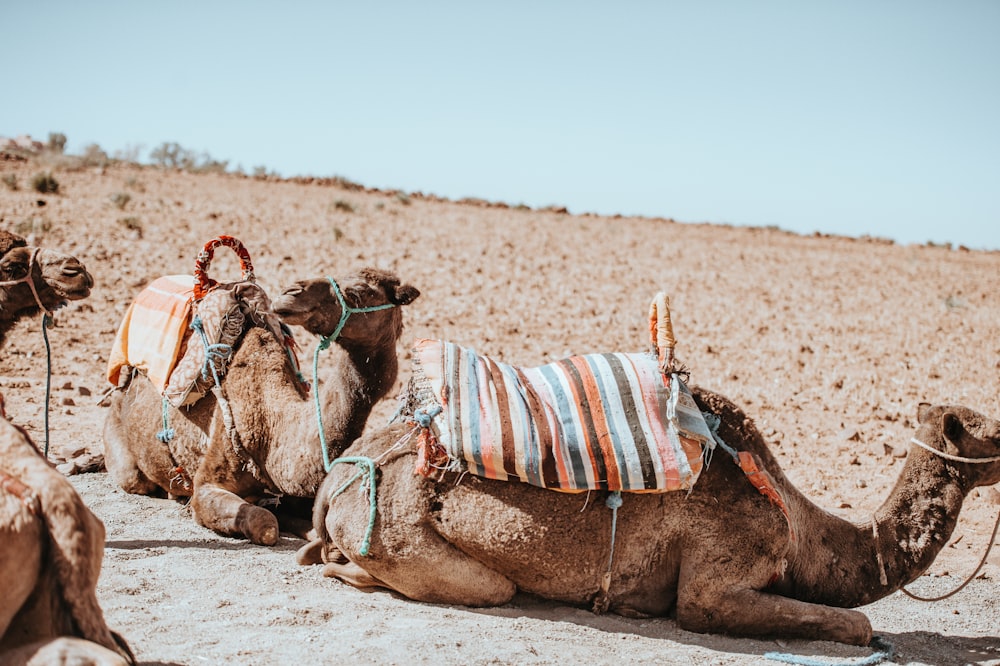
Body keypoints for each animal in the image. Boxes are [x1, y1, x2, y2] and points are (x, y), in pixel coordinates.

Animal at [104, 268, 422, 544]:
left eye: (358, 293)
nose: (292, 292)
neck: (270, 428)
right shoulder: (207, 482)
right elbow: (265, 524)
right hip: (125, 455)